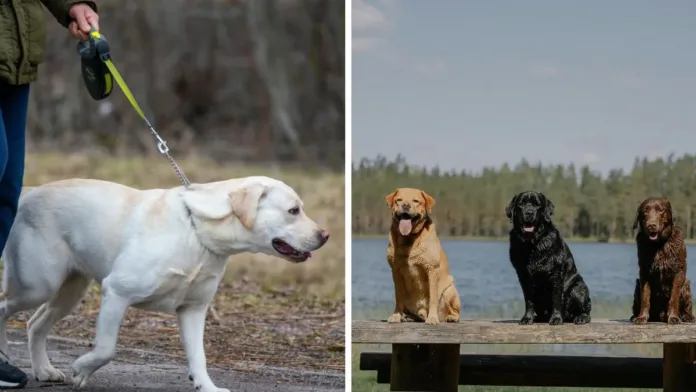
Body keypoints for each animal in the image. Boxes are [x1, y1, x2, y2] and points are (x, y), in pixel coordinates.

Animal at [0, 178, 328, 392]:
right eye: (293, 210)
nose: (325, 236)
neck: (198, 232)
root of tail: (28, 193)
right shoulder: (116, 293)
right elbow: (106, 349)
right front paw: (81, 370)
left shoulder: (193, 309)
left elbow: (199, 356)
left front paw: (207, 386)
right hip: (37, 283)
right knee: (6, 308)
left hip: (69, 290)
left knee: (35, 323)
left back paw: (44, 370)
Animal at [384, 188, 460, 324]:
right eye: (399, 200)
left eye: (416, 201)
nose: (406, 205)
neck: (409, 239)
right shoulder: (396, 271)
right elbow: (398, 296)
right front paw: (396, 316)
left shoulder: (431, 269)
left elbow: (433, 298)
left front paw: (432, 318)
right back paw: (412, 317)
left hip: (450, 290)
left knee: (453, 310)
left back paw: (451, 317)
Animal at [506, 191, 592, 324]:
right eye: (521, 204)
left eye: (537, 205)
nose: (529, 213)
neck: (532, 244)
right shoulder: (523, 275)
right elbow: (528, 300)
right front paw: (527, 318)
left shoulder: (556, 272)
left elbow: (556, 298)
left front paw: (556, 318)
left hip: (578, 288)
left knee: (585, 310)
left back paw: (581, 317)